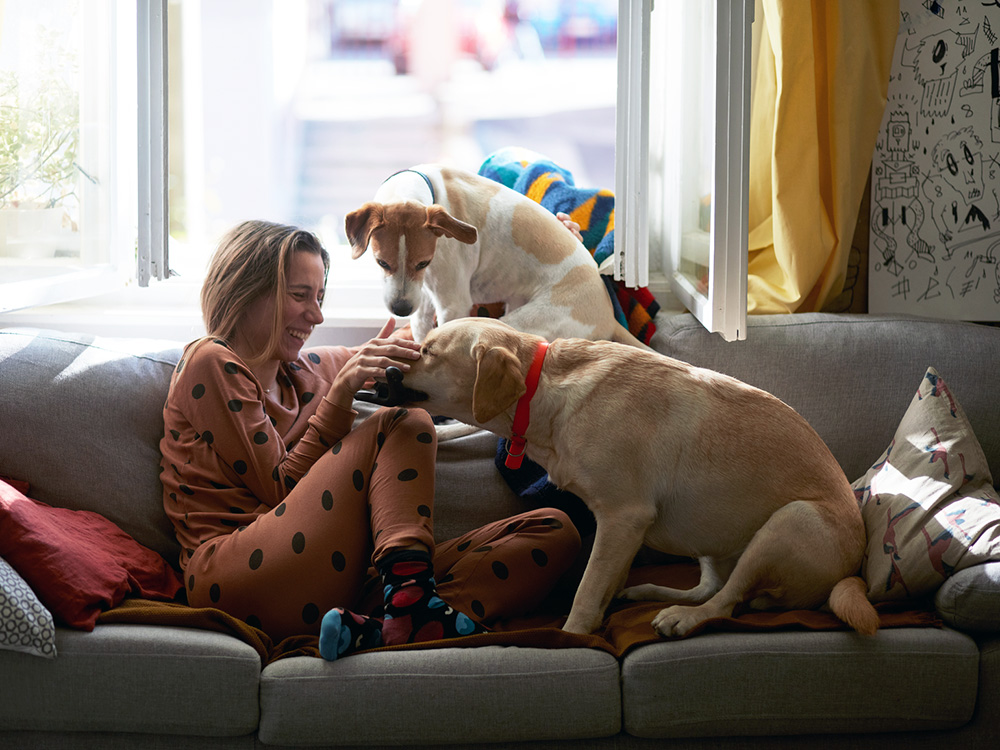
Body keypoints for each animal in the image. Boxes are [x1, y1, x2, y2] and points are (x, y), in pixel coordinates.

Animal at [344, 163, 648, 348]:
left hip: (516, 322)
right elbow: (420, 330)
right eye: (381, 262)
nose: (400, 309)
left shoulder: (452, 304)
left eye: (423, 262)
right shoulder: (424, 296)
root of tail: (608, 316)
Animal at [394, 318, 880, 640]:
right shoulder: (623, 531)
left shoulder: (623, 517)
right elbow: (604, 582)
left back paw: (682, 618)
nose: (389, 370)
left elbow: (587, 589)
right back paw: (651, 592)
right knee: (713, 588)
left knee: (727, 600)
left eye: (428, 351)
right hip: (713, 538)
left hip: (791, 520)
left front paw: (572, 636)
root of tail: (850, 572)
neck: (543, 392)